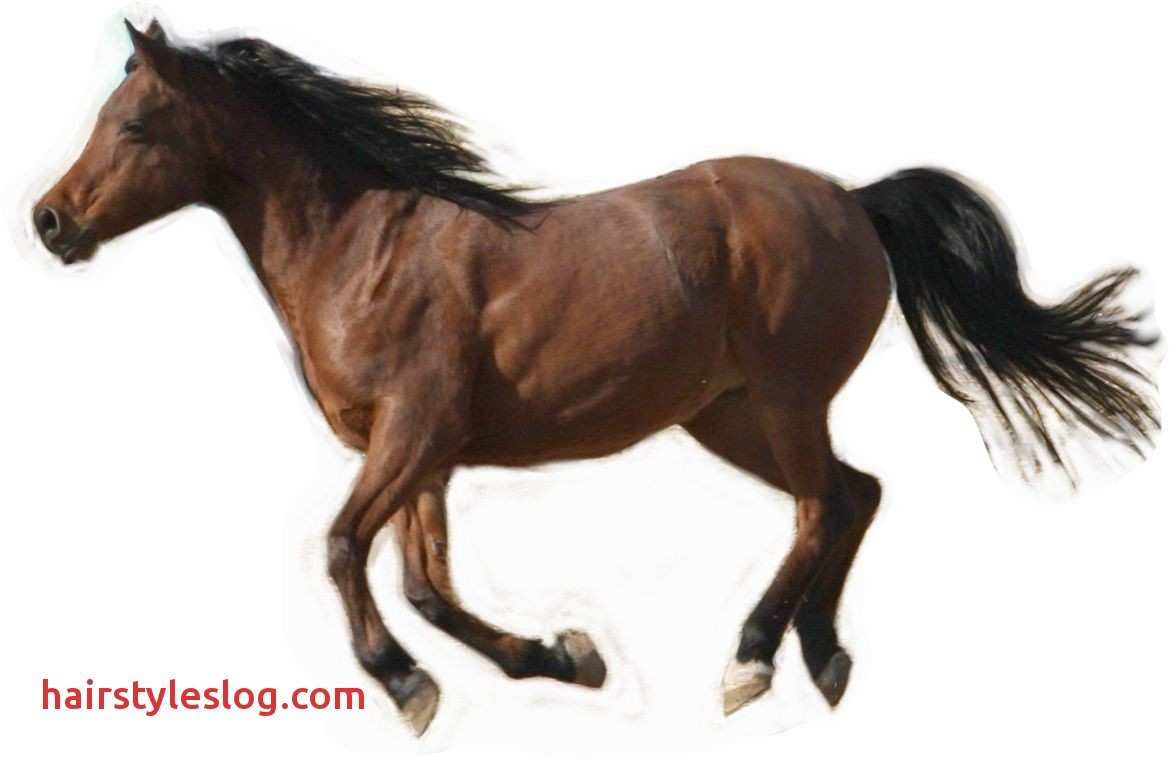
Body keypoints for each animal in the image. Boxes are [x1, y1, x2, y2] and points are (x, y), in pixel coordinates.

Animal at [33, 20, 1158, 736]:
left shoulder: (410, 432)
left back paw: (751, 661)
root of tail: (848, 196)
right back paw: (822, 654)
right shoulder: (425, 453)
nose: (48, 221)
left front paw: (405, 686)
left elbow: (346, 550)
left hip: (784, 398)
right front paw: (567, 656)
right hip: (726, 417)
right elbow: (427, 586)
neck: (361, 247)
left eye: (134, 125)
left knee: (816, 506)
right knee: (855, 494)